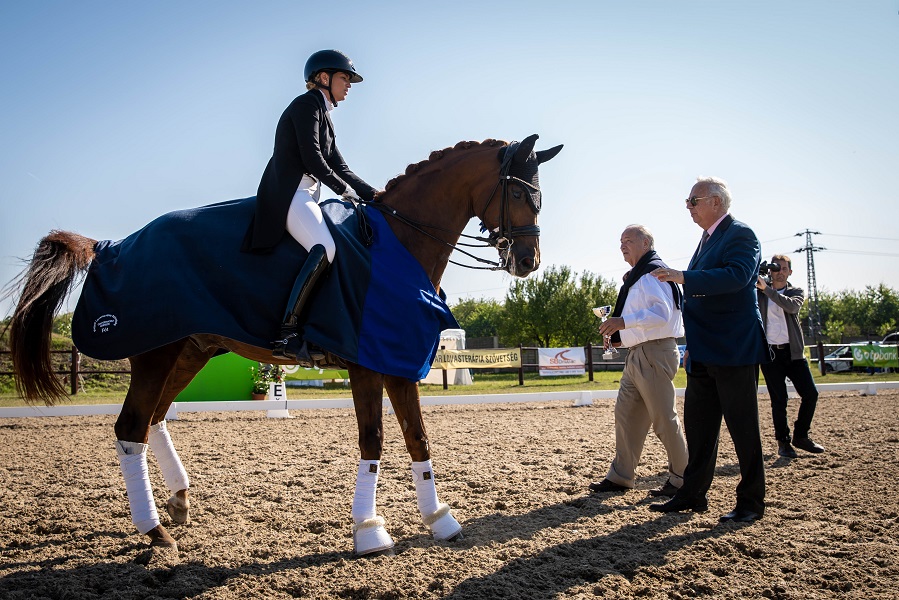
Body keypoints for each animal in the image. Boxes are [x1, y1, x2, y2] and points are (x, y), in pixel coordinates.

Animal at [7, 134, 564, 556]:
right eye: (522, 195)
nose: (528, 262)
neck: (400, 244)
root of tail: (115, 247)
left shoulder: (398, 359)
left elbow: (418, 439)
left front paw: (440, 520)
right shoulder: (365, 362)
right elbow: (374, 440)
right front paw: (369, 532)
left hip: (189, 350)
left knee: (154, 419)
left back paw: (179, 502)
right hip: (156, 352)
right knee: (130, 428)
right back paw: (156, 532)